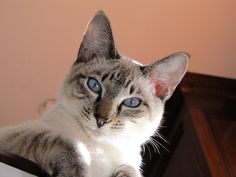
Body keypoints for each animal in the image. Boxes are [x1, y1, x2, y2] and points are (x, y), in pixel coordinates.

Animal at [0, 11, 188, 177]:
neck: (98, 149)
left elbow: (130, 170)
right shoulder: (14, 136)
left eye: (132, 103)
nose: (101, 120)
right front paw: (77, 172)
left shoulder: (129, 162)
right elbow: (67, 143)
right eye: (94, 86)